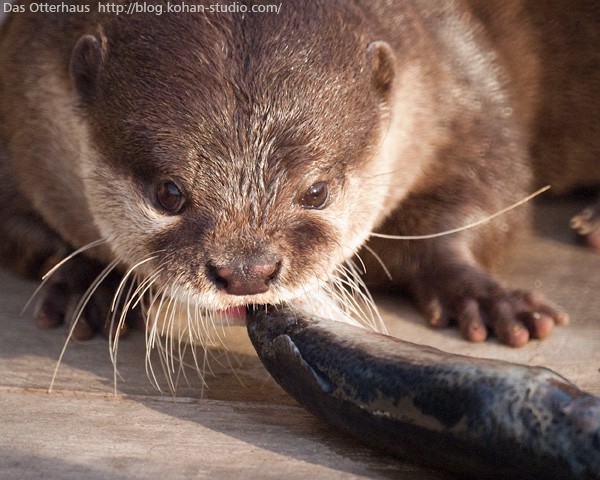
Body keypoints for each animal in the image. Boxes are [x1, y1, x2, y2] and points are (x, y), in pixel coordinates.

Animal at [0, 0, 596, 346]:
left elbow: (489, 191)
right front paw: (89, 282)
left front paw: (480, 294)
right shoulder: (21, 91)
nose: (246, 272)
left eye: (317, 191)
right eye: (168, 193)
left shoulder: (456, 76)